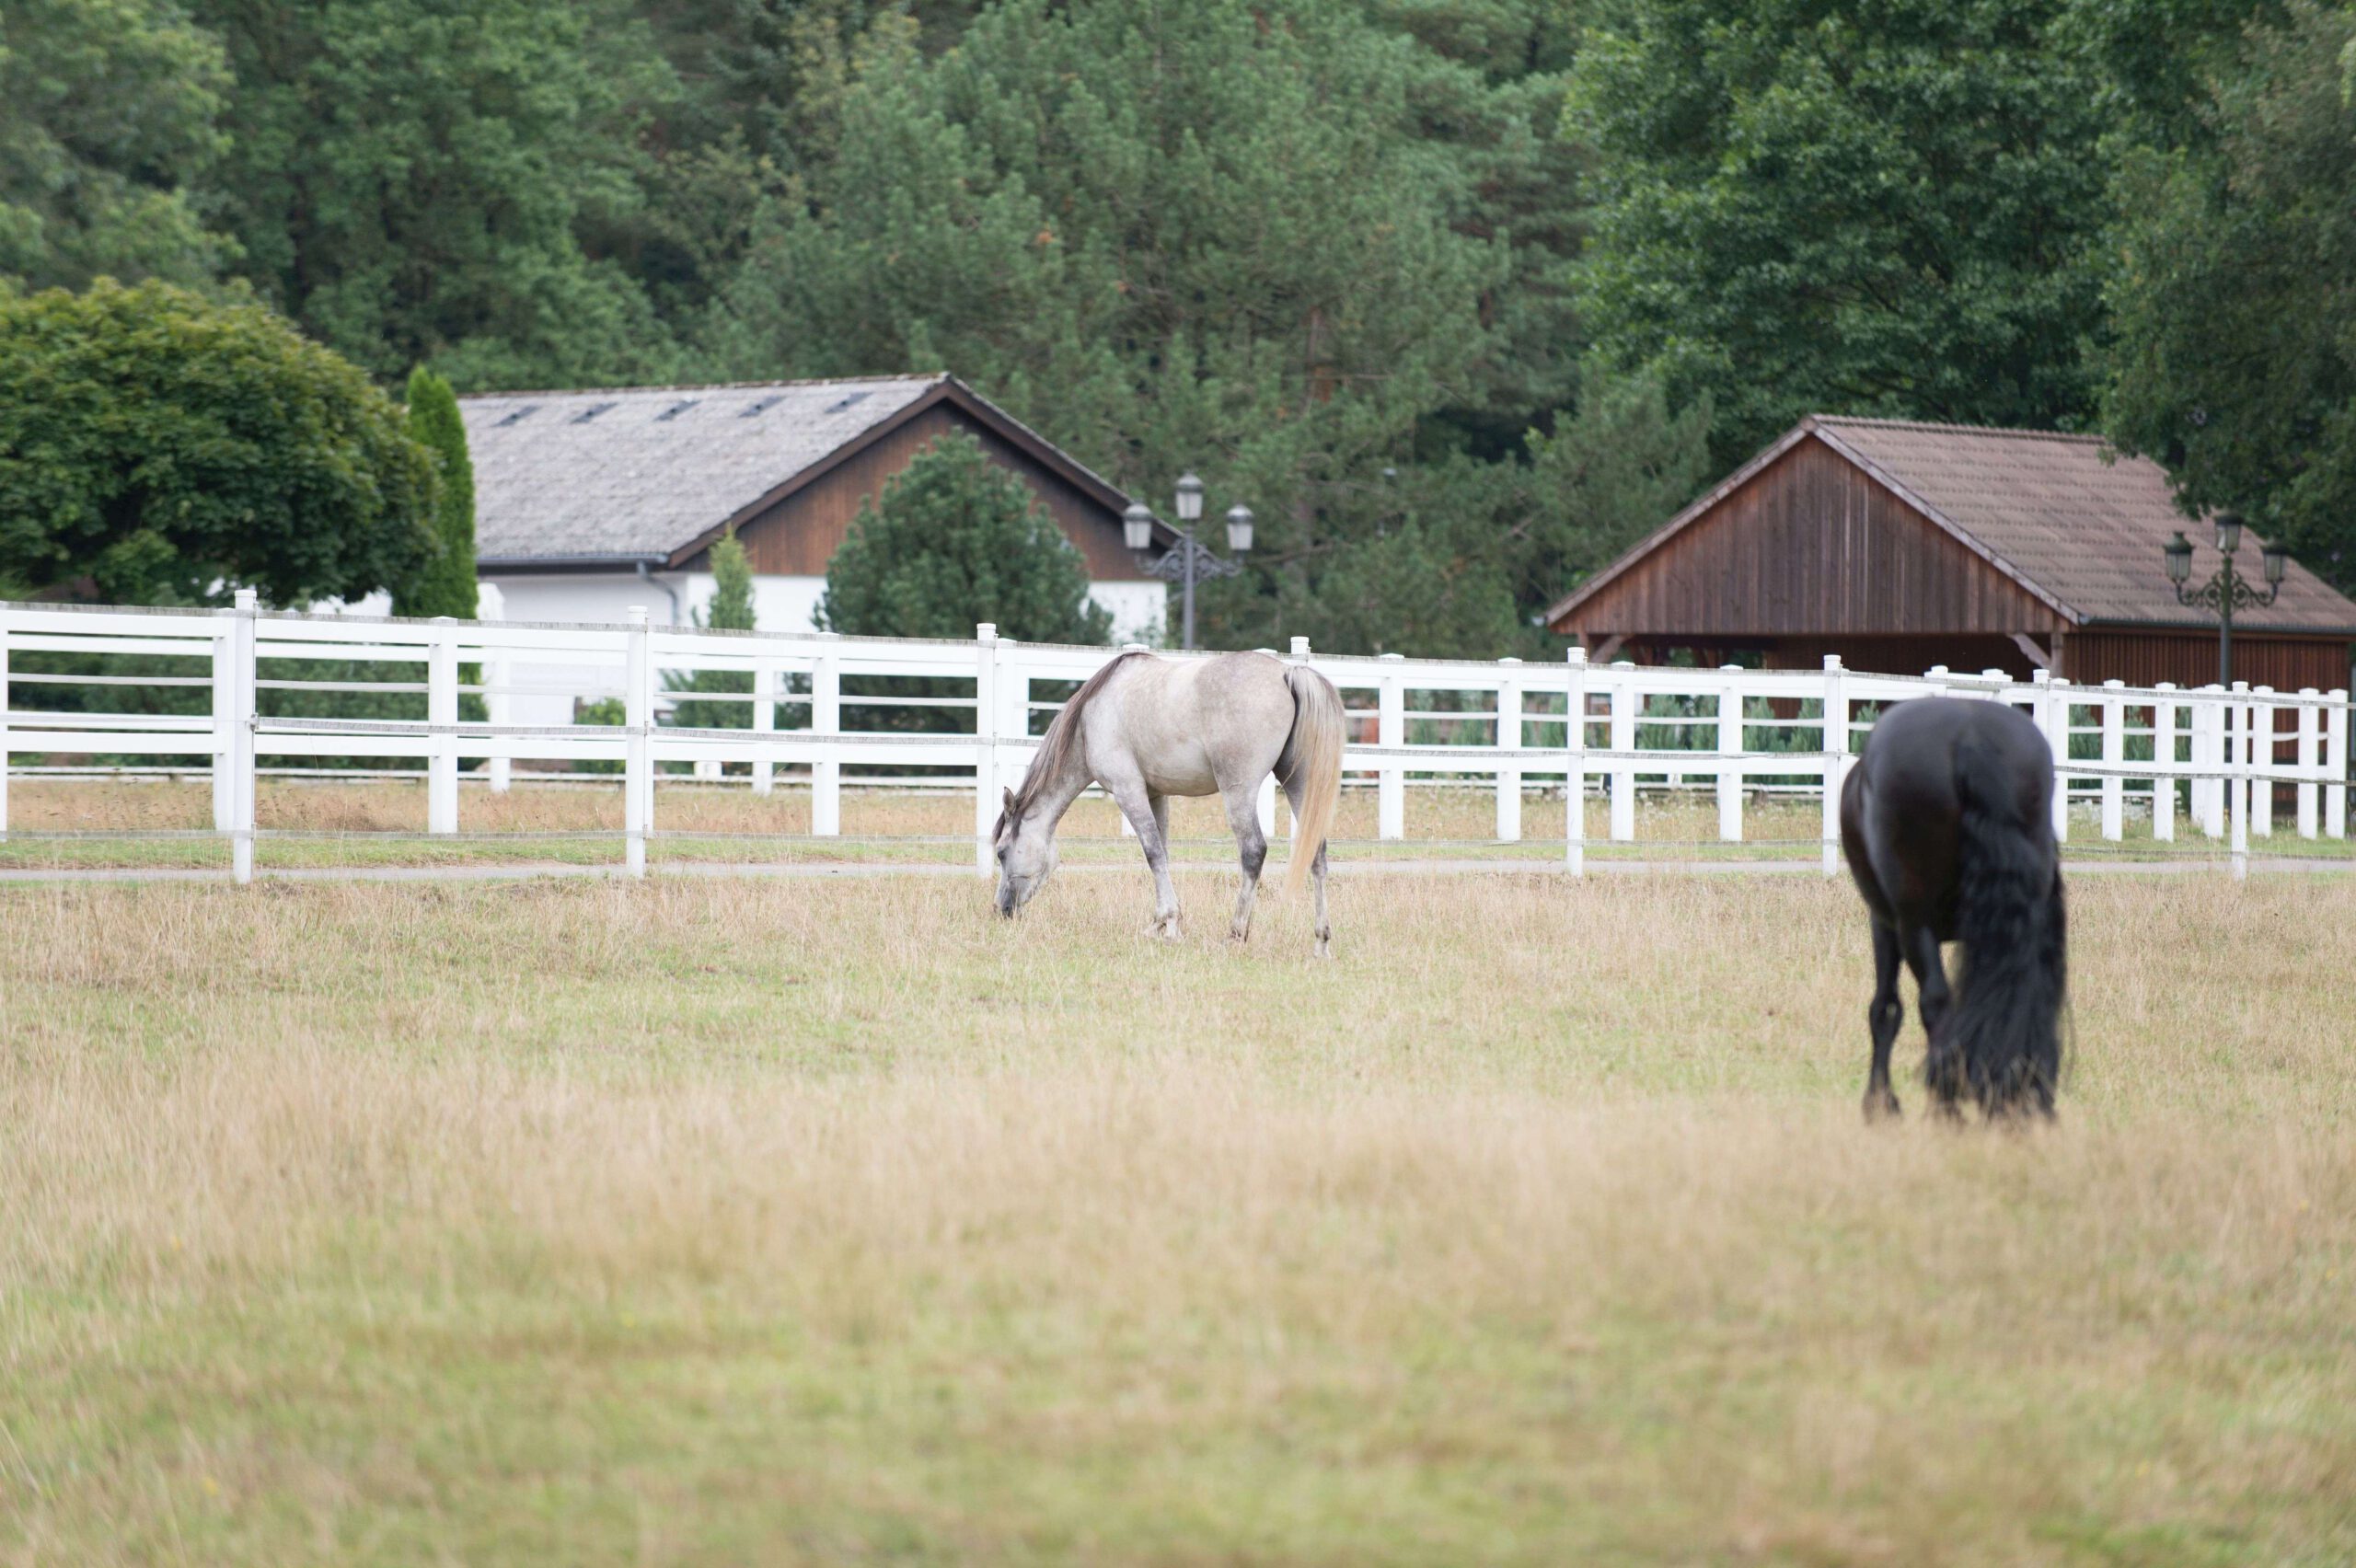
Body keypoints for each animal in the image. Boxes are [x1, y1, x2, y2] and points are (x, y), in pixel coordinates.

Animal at [989, 650, 1347, 951]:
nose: (1001, 909)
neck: (1089, 721)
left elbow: (1152, 854)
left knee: (1253, 851)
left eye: (1001, 852)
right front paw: (1161, 923)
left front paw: (1170, 924)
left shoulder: (1129, 791)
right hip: (1300, 785)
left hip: (1239, 791)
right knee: (1316, 854)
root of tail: (1287, 673)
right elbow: (1162, 852)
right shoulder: (1155, 794)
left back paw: (1235, 934)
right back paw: (1321, 941)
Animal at [1837, 692, 2063, 1111]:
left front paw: (1881, 1102)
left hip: (1913, 926)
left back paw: (1946, 1102)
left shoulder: (1886, 925)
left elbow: (1885, 1008)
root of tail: (1972, 739)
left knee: (1935, 1003)